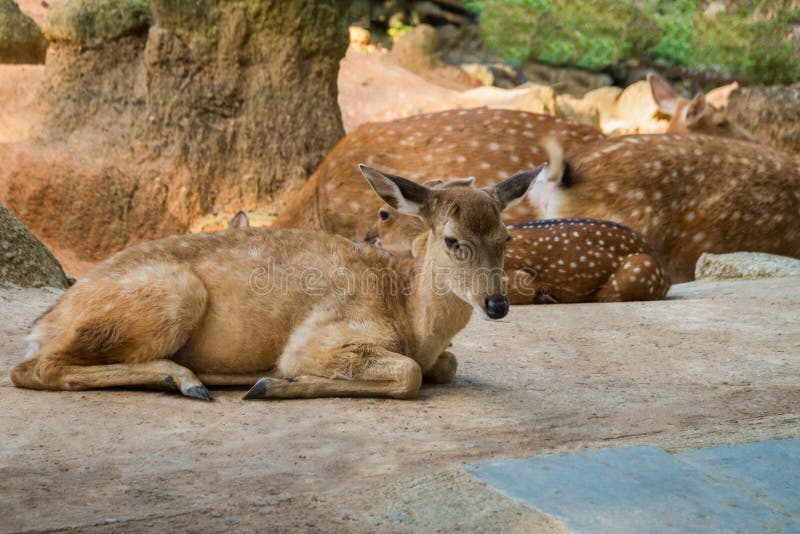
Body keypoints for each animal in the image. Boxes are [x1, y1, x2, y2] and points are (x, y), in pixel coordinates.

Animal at [10, 165, 536, 400]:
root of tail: (44, 321)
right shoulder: (323, 335)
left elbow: (446, 365)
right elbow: (409, 375)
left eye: (507, 236)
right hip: (173, 295)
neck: (411, 319)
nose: (497, 303)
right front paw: (278, 382)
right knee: (33, 368)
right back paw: (187, 378)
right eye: (452, 240)